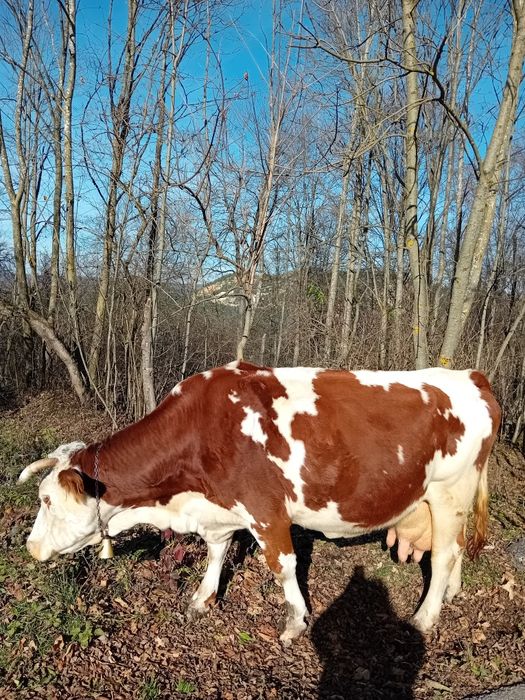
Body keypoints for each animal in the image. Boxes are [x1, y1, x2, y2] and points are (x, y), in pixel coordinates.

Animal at [19, 362, 500, 641]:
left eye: (47, 500)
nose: (30, 547)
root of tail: (469, 376)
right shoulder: (219, 510)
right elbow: (216, 552)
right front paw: (202, 598)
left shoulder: (266, 511)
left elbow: (283, 567)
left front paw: (294, 622)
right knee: (455, 549)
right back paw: (451, 593)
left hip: (450, 490)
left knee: (443, 555)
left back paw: (425, 617)